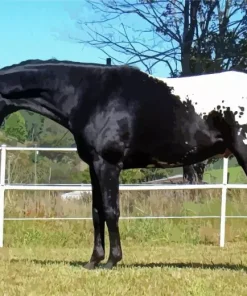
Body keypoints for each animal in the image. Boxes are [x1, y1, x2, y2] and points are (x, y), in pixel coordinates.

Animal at [0, 59, 247, 270]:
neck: (90, 95)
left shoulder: (108, 164)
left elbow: (111, 211)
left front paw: (112, 261)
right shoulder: (94, 166)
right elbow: (96, 211)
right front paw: (93, 261)